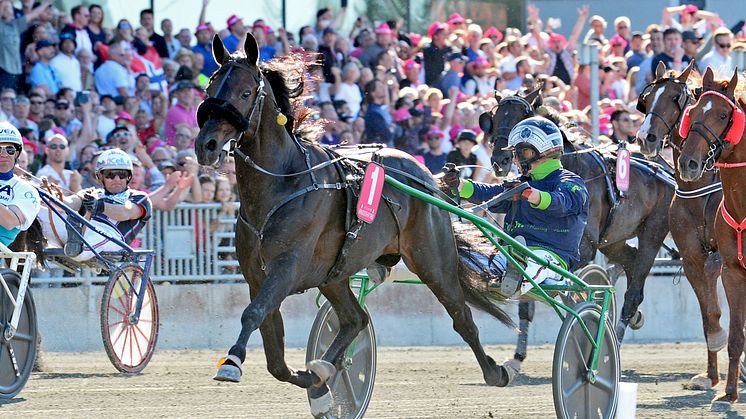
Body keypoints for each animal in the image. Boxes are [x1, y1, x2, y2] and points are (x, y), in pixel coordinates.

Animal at [192, 34, 516, 418]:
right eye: (210, 86)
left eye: (244, 92)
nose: (207, 145)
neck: (282, 184)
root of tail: (425, 176)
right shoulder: (258, 276)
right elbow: (274, 352)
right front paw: (314, 381)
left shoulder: (285, 268)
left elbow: (253, 314)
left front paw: (231, 363)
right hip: (334, 274)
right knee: (355, 319)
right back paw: (324, 373)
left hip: (433, 262)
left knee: (461, 316)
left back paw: (497, 371)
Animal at [482, 88, 676, 358]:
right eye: (494, 118)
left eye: (522, 116)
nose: (500, 160)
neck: (573, 167)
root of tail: (663, 167)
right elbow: (528, 297)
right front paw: (518, 356)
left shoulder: (585, 248)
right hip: (613, 240)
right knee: (629, 259)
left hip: (653, 232)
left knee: (634, 290)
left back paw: (617, 335)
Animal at [632, 60, 724, 388]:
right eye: (646, 100)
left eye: (675, 98)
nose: (645, 138)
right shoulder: (692, 255)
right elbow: (708, 313)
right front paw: (710, 375)